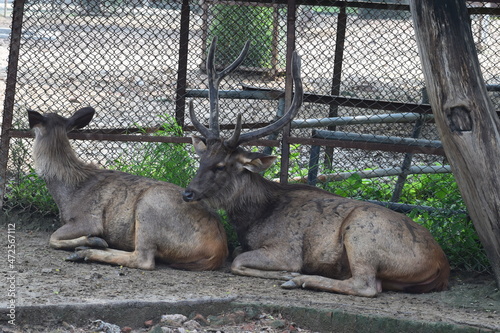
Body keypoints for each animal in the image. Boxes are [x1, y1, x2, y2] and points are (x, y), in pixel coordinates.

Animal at [28, 107, 228, 270]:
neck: (66, 190)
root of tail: (218, 251)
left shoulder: (88, 220)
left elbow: (52, 239)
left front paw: (93, 239)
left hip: (149, 207)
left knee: (144, 259)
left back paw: (86, 251)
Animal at [182, 38, 452, 296]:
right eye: (201, 159)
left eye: (221, 166)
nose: (188, 193)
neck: (253, 217)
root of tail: (441, 265)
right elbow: (237, 252)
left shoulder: (286, 249)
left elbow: (238, 261)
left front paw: (287, 273)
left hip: (363, 234)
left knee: (366, 286)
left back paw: (299, 280)